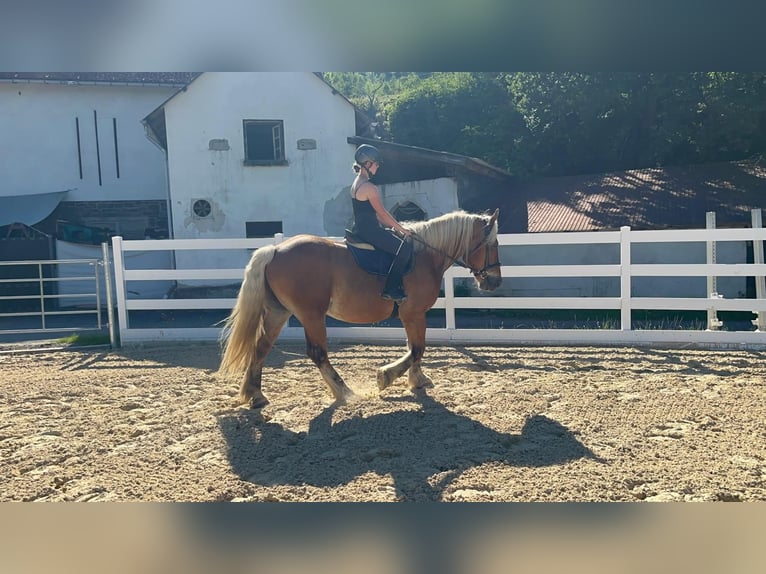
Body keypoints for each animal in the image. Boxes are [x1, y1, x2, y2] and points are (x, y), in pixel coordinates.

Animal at [218, 208, 501, 409]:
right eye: (493, 245)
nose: (495, 282)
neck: (425, 255)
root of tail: (275, 249)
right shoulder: (413, 312)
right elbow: (417, 348)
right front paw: (388, 376)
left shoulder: (413, 315)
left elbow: (415, 347)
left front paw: (417, 380)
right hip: (311, 315)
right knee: (317, 353)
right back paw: (343, 391)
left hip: (280, 313)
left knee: (261, 348)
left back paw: (256, 395)